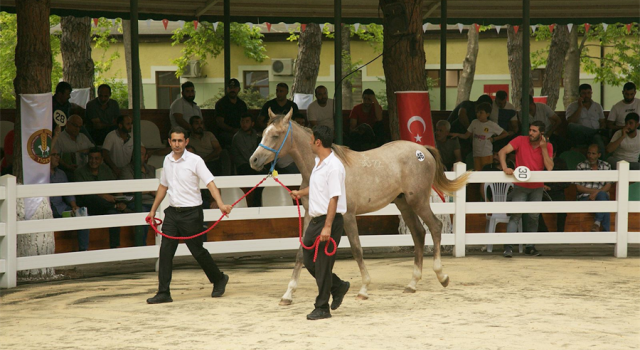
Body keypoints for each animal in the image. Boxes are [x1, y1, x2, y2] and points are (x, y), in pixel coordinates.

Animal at [250, 109, 470, 304]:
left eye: (276, 135)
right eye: (263, 133)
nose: (254, 160)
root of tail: (423, 150)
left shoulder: (347, 215)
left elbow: (357, 249)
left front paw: (364, 289)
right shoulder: (310, 214)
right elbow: (300, 253)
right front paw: (288, 294)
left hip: (419, 201)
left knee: (435, 227)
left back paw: (442, 276)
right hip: (404, 203)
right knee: (418, 233)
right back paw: (412, 284)